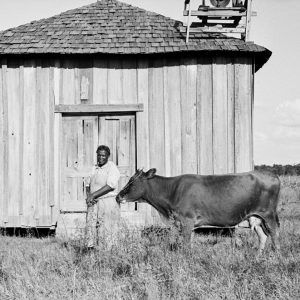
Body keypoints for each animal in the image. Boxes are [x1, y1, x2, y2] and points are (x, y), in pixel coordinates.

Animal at [116, 168, 280, 252]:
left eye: (132, 181)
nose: (118, 196)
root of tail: (271, 174)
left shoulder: (187, 220)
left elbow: (186, 245)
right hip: (255, 216)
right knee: (262, 236)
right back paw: (257, 257)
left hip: (269, 214)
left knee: (274, 234)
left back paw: (275, 256)